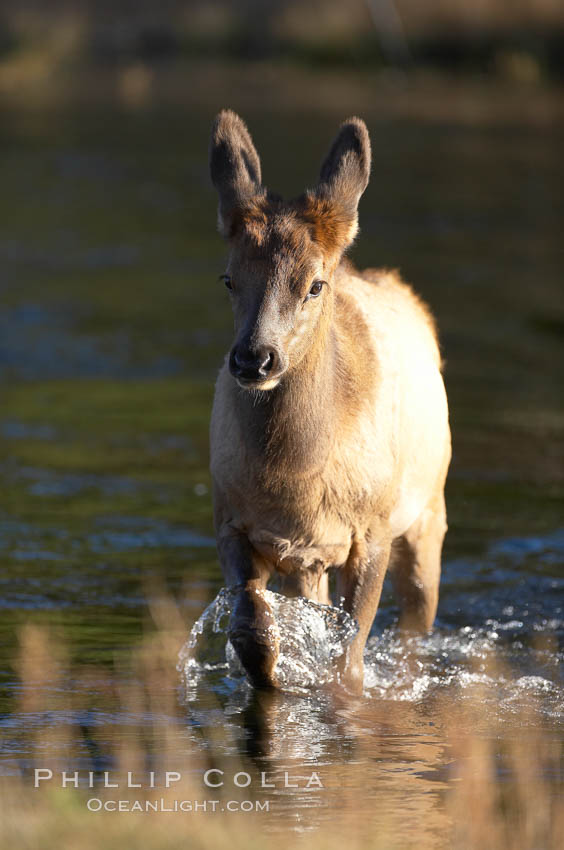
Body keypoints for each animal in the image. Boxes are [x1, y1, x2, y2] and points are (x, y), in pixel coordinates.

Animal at [209, 109, 452, 688]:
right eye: (229, 278)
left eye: (315, 284)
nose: (254, 359)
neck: (294, 481)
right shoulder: (231, 518)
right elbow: (253, 633)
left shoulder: (373, 530)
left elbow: (350, 660)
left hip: (429, 507)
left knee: (418, 618)